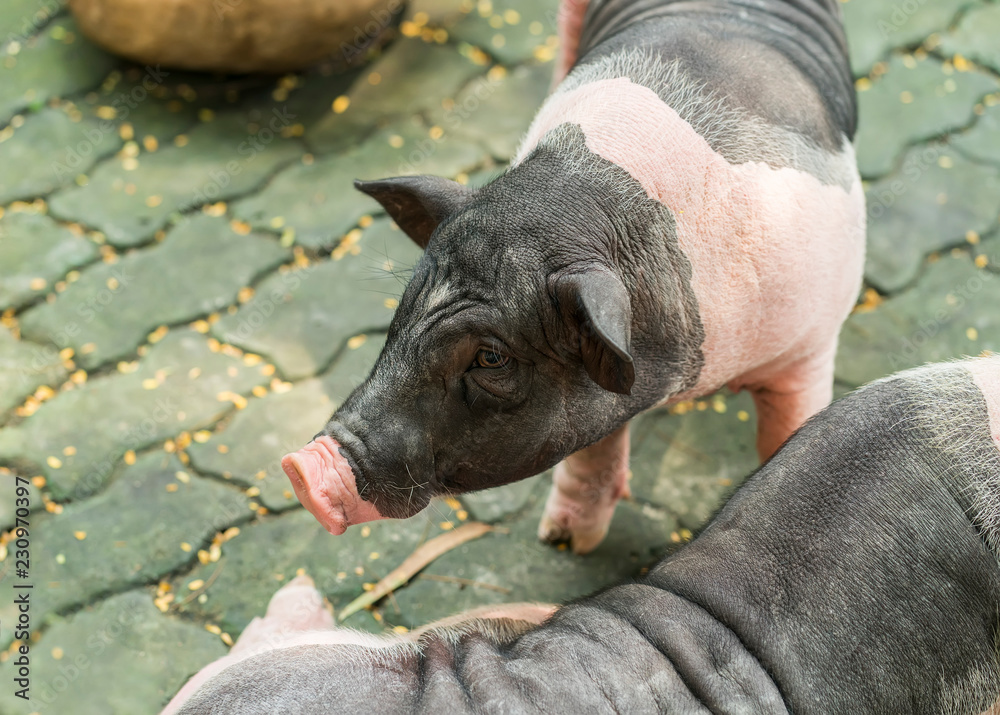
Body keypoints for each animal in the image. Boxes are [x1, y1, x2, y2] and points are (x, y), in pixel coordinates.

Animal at [282, 0, 866, 552]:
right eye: (406, 304)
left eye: (491, 358)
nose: (302, 466)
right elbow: (594, 448)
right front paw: (562, 543)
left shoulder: (811, 342)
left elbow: (785, 433)